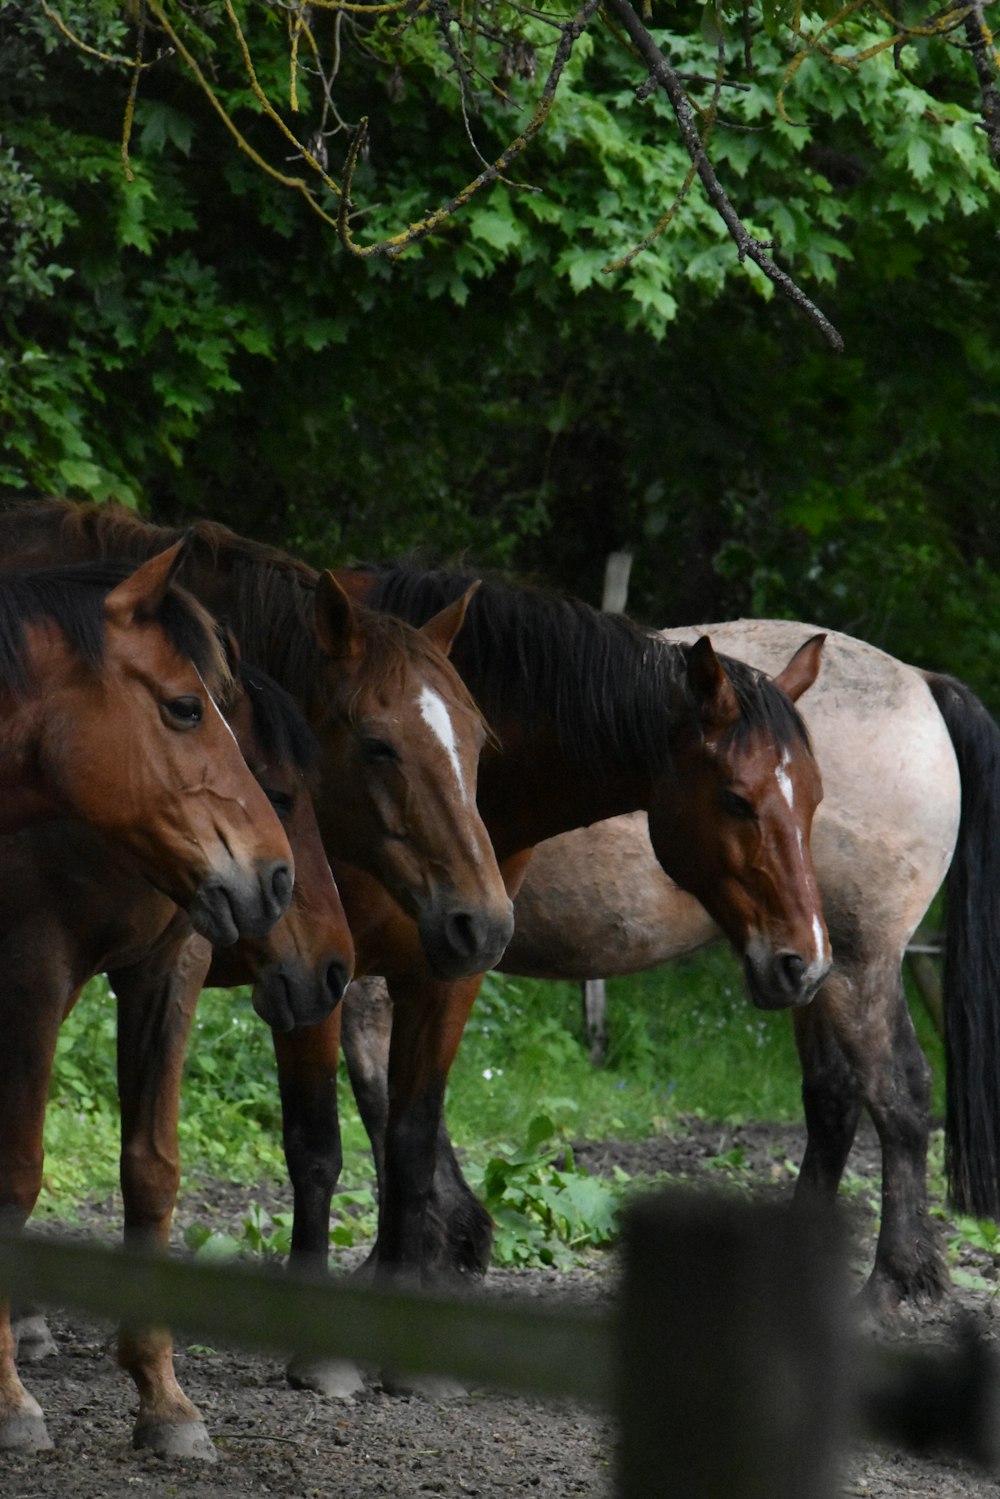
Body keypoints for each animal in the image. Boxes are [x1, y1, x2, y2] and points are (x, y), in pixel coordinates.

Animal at [0, 662, 355, 1457]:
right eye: (279, 793)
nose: (335, 970)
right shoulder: (32, 972)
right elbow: (18, 1177)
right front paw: (9, 1400)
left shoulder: (166, 970)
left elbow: (152, 1171)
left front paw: (164, 1400)